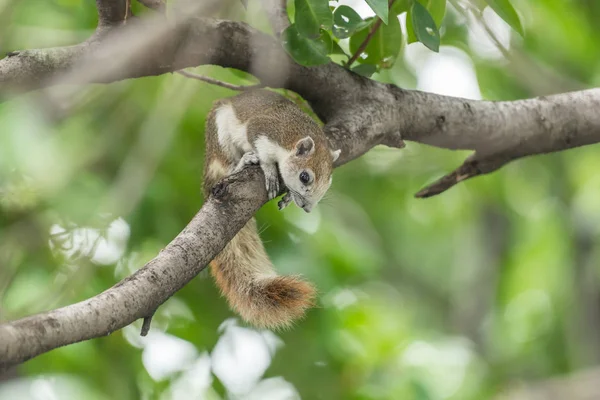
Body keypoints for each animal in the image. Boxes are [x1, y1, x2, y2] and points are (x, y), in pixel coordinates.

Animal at [203, 89, 340, 330]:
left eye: (328, 184)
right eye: (305, 177)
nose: (307, 208)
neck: (295, 133)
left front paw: (288, 197)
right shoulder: (262, 130)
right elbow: (263, 152)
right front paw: (269, 169)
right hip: (220, 134)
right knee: (227, 165)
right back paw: (243, 161)